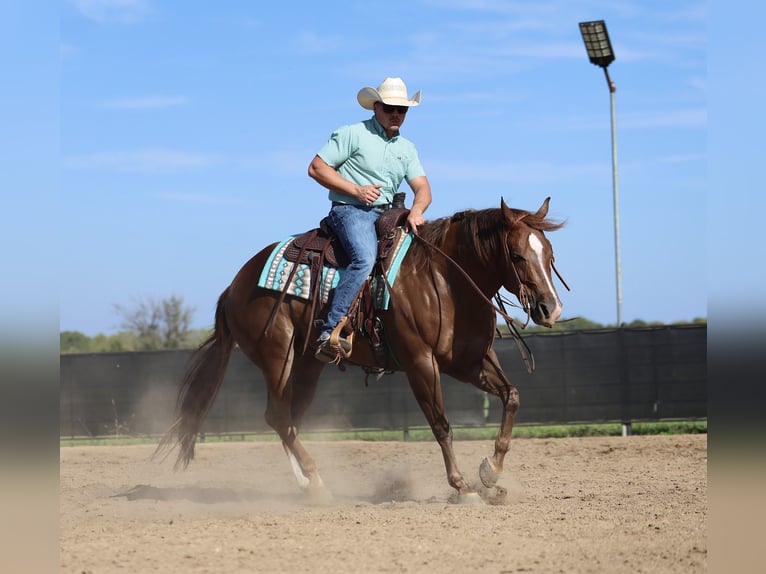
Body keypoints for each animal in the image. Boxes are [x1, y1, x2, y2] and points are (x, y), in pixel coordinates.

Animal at [156, 197, 566, 504]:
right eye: (517, 256)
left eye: (549, 254)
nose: (551, 308)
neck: (444, 281)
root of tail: (235, 286)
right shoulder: (421, 363)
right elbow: (441, 425)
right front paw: (463, 487)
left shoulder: (469, 362)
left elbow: (512, 396)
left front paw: (490, 474)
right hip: (277, 356)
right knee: (277, 416)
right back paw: (317, 482)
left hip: (307, 365)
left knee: (288, 419)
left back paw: (307, 484)